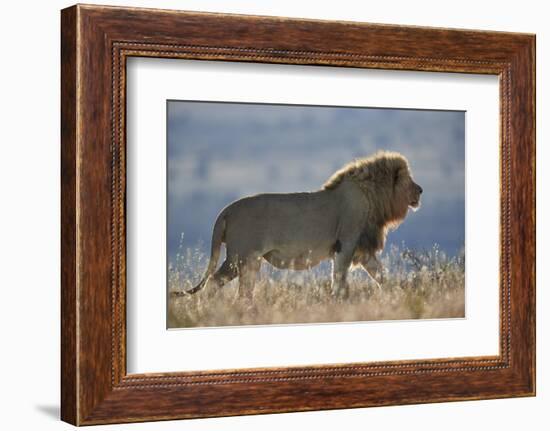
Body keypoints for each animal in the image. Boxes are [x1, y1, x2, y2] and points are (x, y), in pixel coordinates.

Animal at [180, 152, 422, 300]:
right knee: (214, 281)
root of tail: (227, 210)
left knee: (243, 293)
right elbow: (340, 279)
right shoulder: (346, 243)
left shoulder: (363, 250)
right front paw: (338, 302)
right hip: (240, 257)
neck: (373, 197)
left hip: (250, 262)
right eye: (409, 180)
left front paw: (396, 296)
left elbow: (381, 276)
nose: (420, 190)